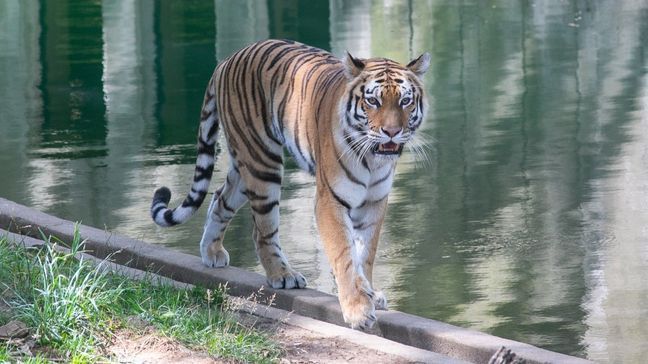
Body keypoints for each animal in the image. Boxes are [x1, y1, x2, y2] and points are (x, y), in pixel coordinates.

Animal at [149, 39, 428, 330]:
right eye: (373, 101)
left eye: (405, 101)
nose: (392, 132)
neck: (373, 159)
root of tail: (227, 59)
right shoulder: (330, 200)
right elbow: (344, 254)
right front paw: (357, 310)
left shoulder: (375, 201)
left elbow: (365, 253)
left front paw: (369, 292)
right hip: (263, 164)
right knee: (262, 231)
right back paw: (282, 275)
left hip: (244, 165)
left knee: (219, 198)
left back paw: (211, 252)